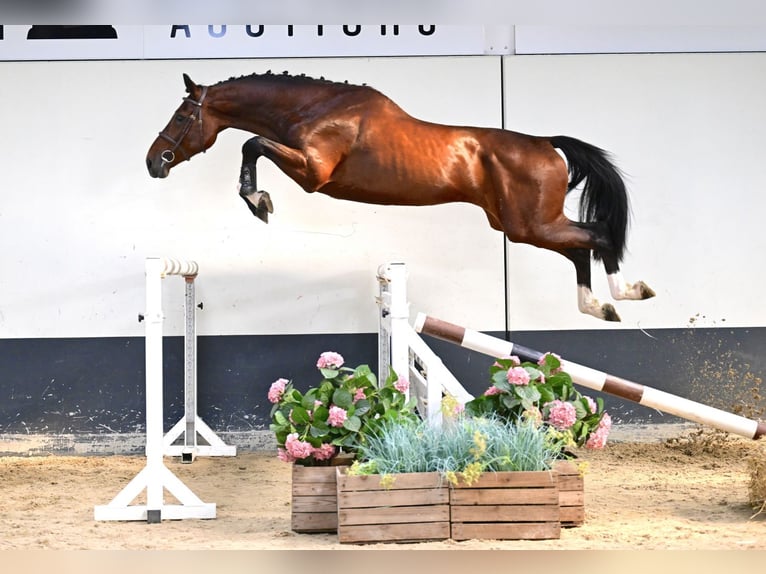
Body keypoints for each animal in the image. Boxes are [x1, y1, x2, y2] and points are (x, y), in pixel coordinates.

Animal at [146, 71, 655, 321]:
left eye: (181, 117)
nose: (154, 162)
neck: (314, 108)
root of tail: (547, 143)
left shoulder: (312, 171)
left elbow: (252, 144)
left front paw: (259, 201)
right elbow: (252, 145)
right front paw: (258, 200)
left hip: (529, 224)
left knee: (596, 237)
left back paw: (627, 292)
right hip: (522, 225)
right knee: (581, 248)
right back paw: (600, 306)